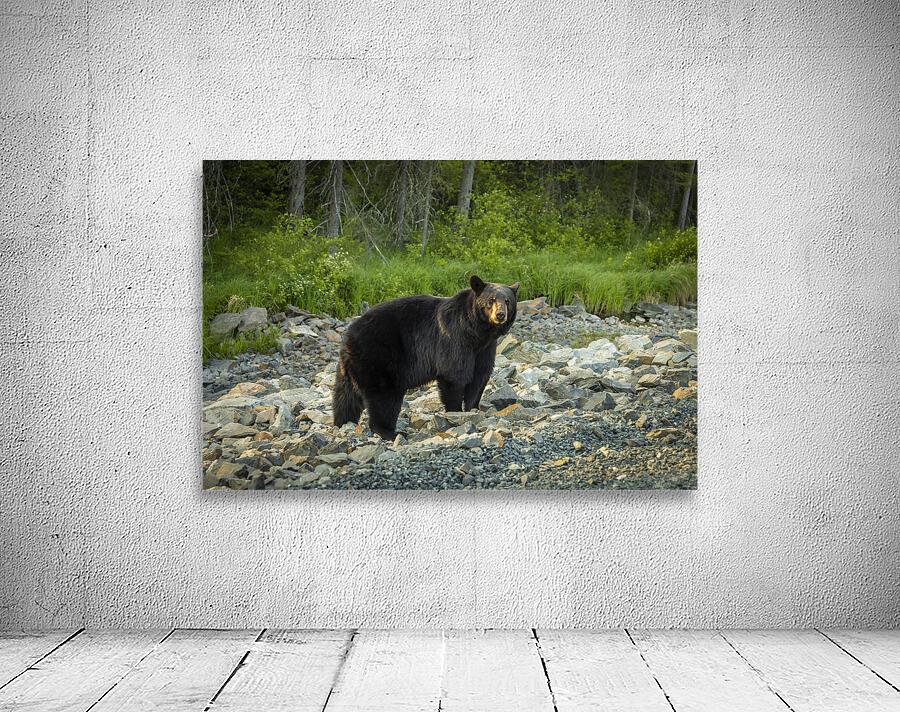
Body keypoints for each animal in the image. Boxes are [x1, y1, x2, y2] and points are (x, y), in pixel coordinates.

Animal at [332, 275, 520, 440]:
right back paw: (391, 432)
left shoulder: (485, 348)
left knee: (345, 399)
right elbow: (454, 375)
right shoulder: (454, 339)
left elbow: (479, 376)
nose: (500, 315)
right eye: (491, 300)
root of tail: (348, 338)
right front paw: (456, 412)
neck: (477, 332)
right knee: (384, 398)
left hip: (349, 369)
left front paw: (473, 408)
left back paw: (343, 422)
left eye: (508, 301)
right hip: (379, 359)